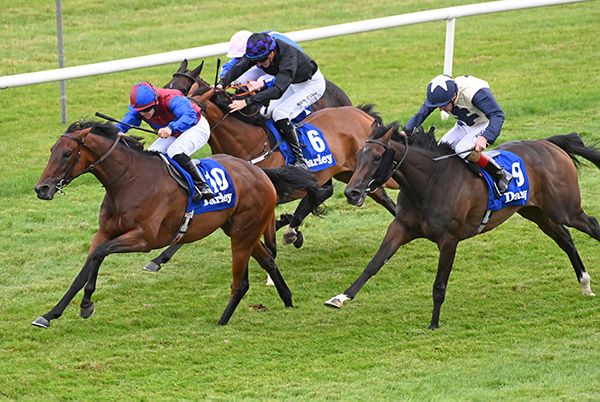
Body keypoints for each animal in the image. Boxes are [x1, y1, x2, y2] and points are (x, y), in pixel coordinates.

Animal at [31, 119, 324, 326]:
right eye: (52, 150)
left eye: (67, 153)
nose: (41, 189)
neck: (129, 181)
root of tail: (259, 172)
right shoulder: (104, 233)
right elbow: (87, 265)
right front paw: (52, 313)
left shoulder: (145, 239)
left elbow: (100, 255)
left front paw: (86, 304)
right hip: (238, 230)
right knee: (269, 261)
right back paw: (288, 300)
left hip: (244, 233)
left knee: (241, 282)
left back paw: (221, 322)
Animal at [328, 123, 600, 330]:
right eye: (358, 156)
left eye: (376, 157)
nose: (352, 193)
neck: (429, 181)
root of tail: (549, 143)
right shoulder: (400, 228)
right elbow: (373, 265)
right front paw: (340, 297)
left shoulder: (449, 240)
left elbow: (439, 285)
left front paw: (434, 324)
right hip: (537, 212)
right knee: (566, 239)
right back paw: (585, 284)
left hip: (566, 209)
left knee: (592, 226)